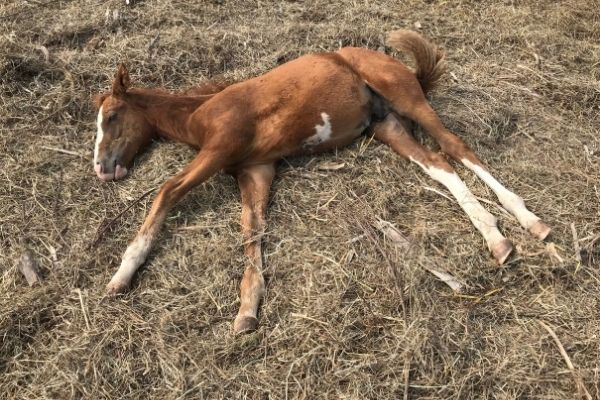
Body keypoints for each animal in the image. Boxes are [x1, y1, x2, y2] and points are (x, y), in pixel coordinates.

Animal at [94, 29, 548, 332]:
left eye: (111, 116)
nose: (101, 167)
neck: (200, 114)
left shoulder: (218, 150)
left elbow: (167, 191)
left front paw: (122, 273)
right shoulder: (256, 169)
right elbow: (252, 230)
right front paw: (247, 311)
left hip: (407, 99)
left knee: (457, 147)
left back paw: (528, 222)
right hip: (387, 126)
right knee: (438, 164)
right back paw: (497, 238)